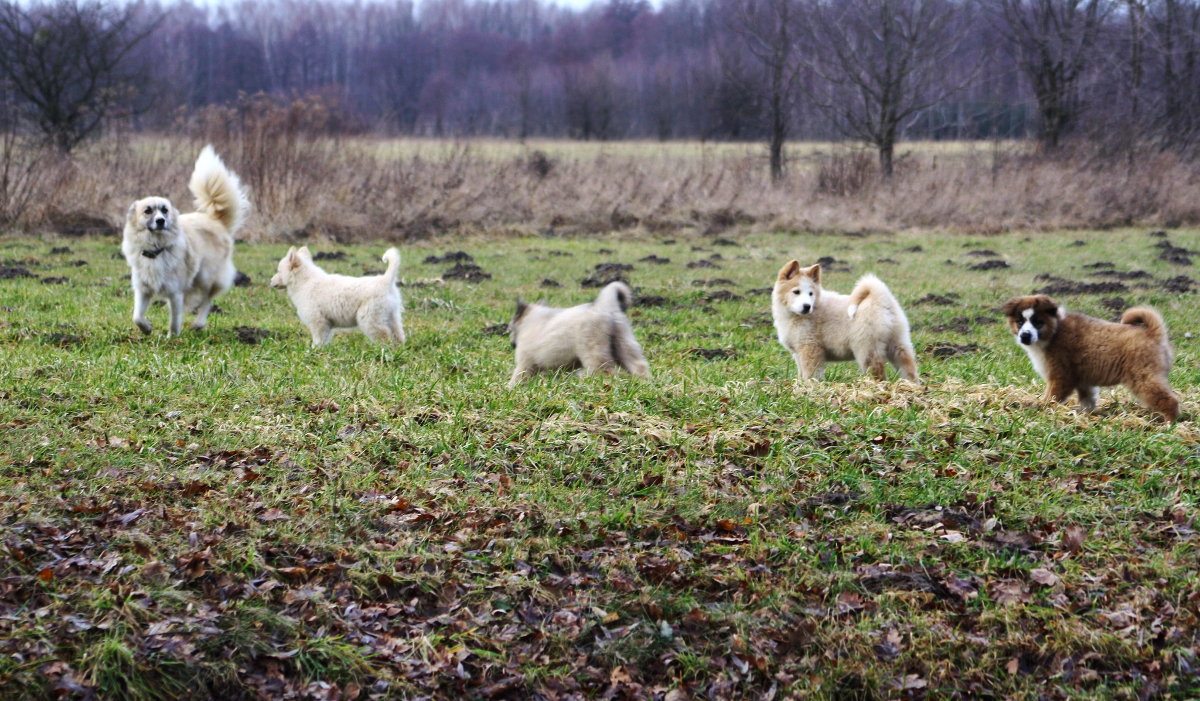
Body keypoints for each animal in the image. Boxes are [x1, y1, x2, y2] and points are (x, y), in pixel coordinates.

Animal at [121, 145, 250, 336]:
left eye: (164, 210)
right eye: (148, 211)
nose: (161, 221)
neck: (157, 249)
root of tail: (215, 220)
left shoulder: (175, 293)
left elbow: (175, 319)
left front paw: (172, 337)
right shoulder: (143, 289)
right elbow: (137, 316)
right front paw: (147, 329)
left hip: (206, 276)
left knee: (207, 300)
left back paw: (198, 323)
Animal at [270, 246, 405, 348]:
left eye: (279, 271)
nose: (270, 281)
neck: (305, 281)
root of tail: (385, 280)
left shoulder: (318, 321)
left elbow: (318, 339)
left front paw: (313, 351)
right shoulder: (326, 323)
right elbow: (324, 340)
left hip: (369, 319)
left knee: (384, 336)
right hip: (392, 316)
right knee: (398, 337)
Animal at [511, 280, 652, 388]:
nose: (512, 344)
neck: (530, 321)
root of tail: (604, 308)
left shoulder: (525, 363)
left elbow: (517, 377)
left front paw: (511, 389)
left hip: (593, 351)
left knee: (604, 371)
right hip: (624, 344)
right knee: (639, 365)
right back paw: (644, 383)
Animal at [768, 261, 916, 384]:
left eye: (810, 293)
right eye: (796, 292)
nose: (807, 306)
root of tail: (881, 299)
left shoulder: (809, 348)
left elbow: (810, 372)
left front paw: (809, 387)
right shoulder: (798, 352)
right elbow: (801, 372)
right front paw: (800, 385)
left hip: (867, 349)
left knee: (878, 374)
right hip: (898, 343)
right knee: (908, 368)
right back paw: (911, 386)